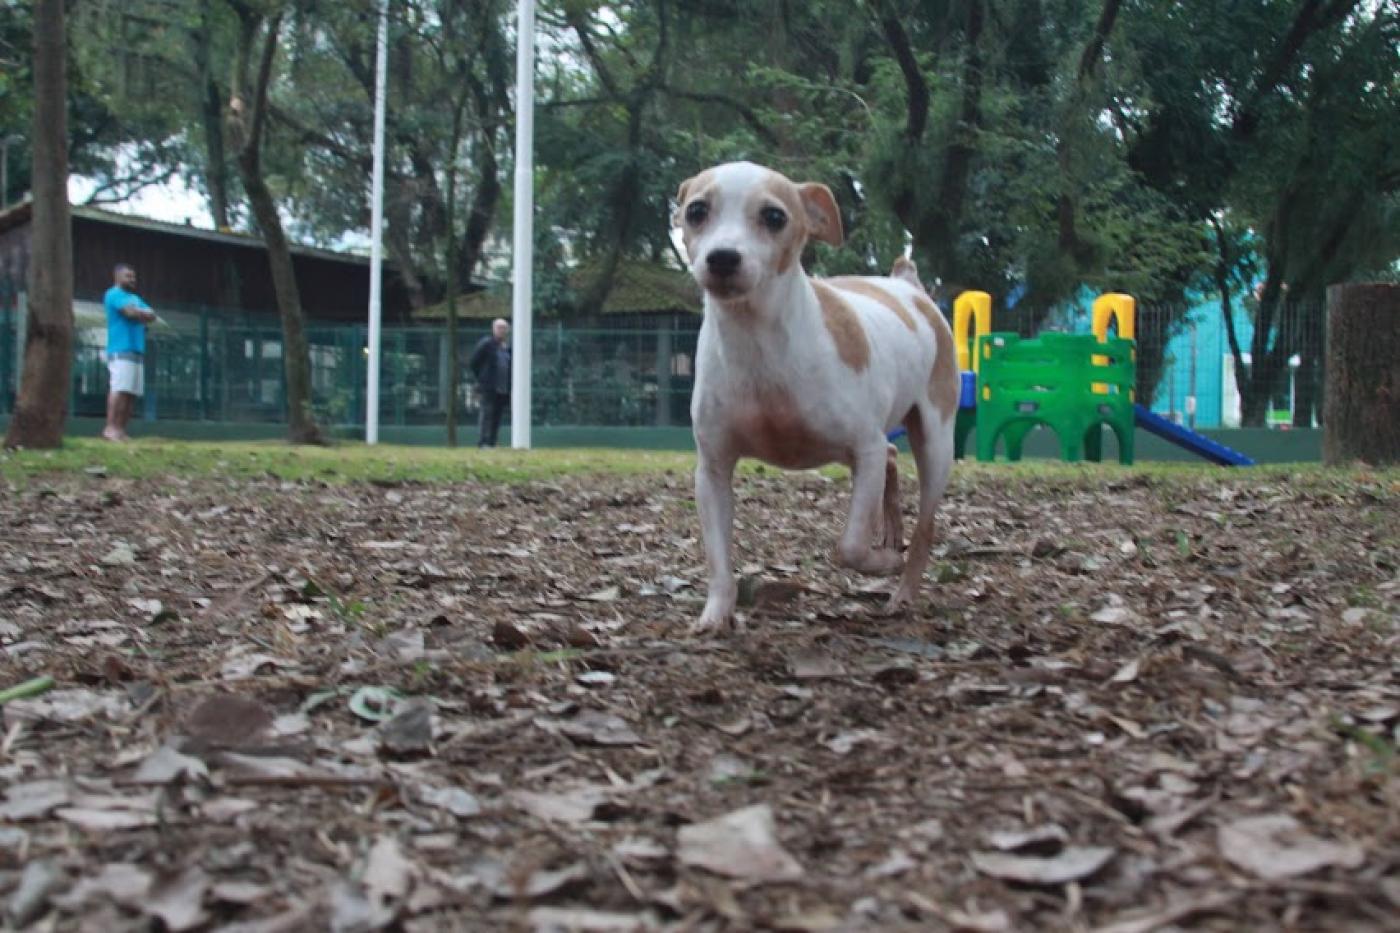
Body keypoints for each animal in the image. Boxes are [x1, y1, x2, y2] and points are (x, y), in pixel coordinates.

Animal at [674, 161, 963, 633]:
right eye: (696, 211)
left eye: (774, 216)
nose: (722, 257)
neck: (759, 341)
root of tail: (909, 288)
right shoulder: (713, 470)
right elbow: (718, 558)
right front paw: (717, 612)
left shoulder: (863, 448)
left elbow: (850, 546)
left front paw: (882, 561)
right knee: (891, 458)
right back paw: (892, 532)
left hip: (936, 441)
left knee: (925, 525)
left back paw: (902, 589)